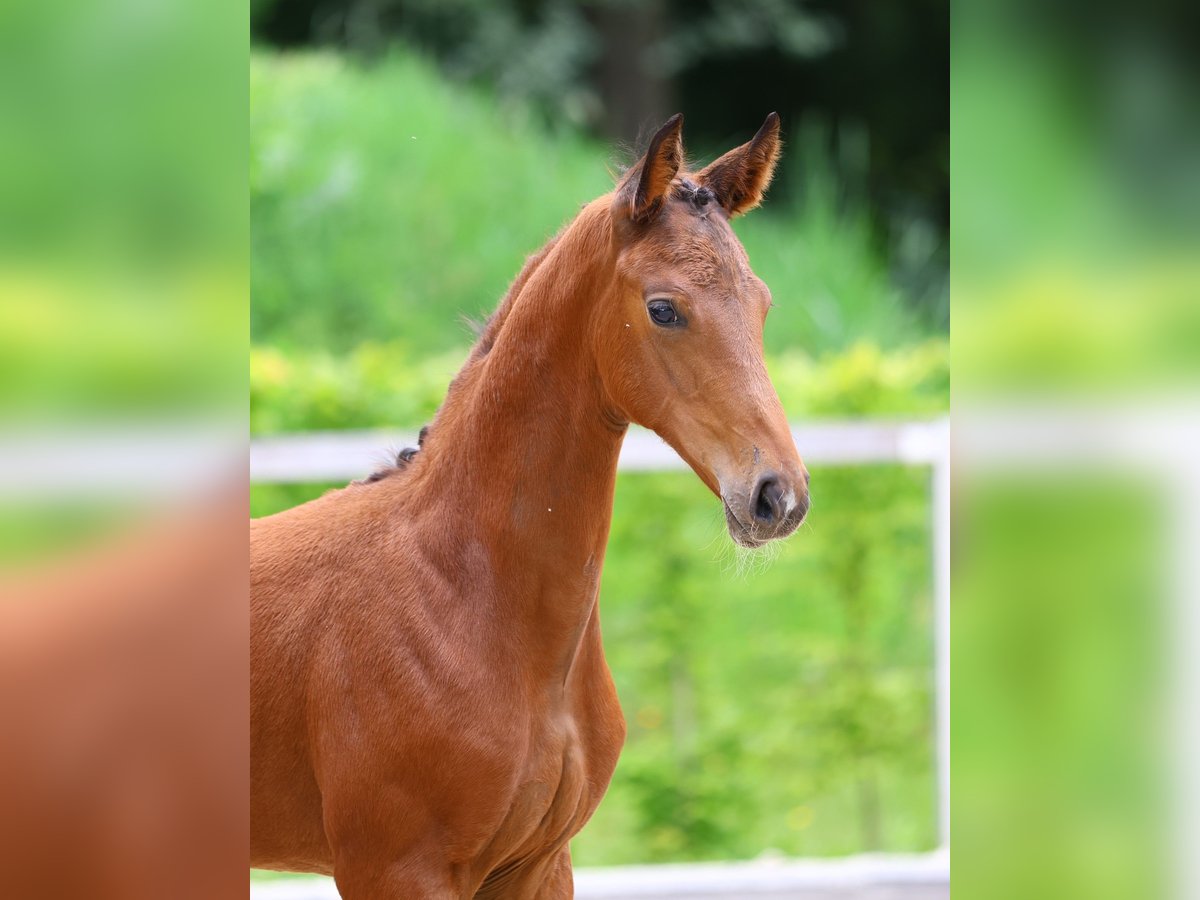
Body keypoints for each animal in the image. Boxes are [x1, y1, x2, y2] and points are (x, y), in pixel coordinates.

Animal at [253, 116, 816, 897]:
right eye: (663, 309)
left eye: (761, 305)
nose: (778, 496)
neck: (464, 591)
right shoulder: (394, 868)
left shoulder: (540, 864)